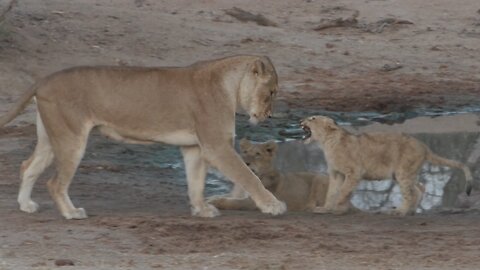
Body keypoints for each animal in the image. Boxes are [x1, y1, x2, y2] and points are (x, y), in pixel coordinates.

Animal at [0, 54, 284, 219]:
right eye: (271, 92)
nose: (269, 116)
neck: (230, 85)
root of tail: (44, 80)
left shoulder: (194, 146)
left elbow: (196, 182)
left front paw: (201, 209)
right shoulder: (217, 146)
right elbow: (248, 176)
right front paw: (273, 205)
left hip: (51, 138)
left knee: (28, 166)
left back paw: (26, 205)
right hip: (71, 139)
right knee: (55, 183)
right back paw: (71, 212)